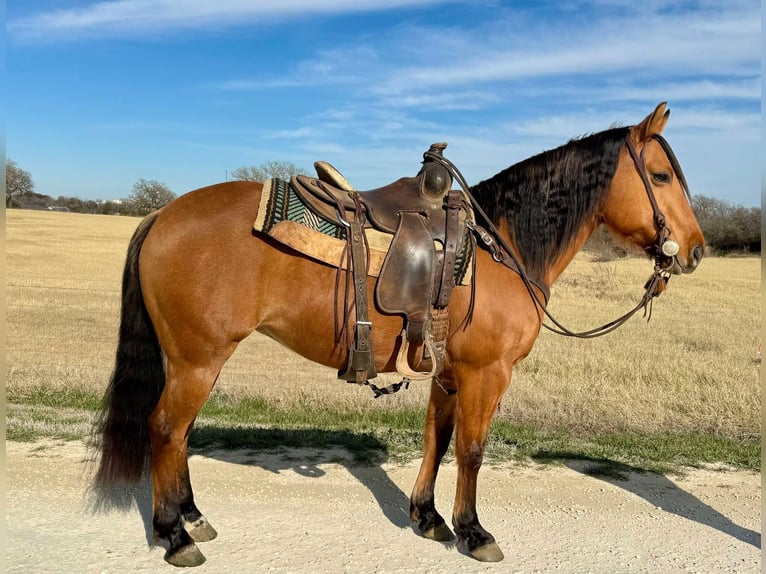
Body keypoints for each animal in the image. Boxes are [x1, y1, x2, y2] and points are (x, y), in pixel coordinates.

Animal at [96, 103, 708, 568]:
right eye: (659, 176)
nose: (696, 250)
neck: (502, 248)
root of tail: (160, 214)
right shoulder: (487, 374)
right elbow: (472, 450)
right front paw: (474, 531)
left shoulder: (449, 373)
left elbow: (437, 440)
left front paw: (429, 518)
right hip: (198, 359)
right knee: (165, 429)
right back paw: (174, 535)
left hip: (196, 361)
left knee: (180, 434)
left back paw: (193, 518)